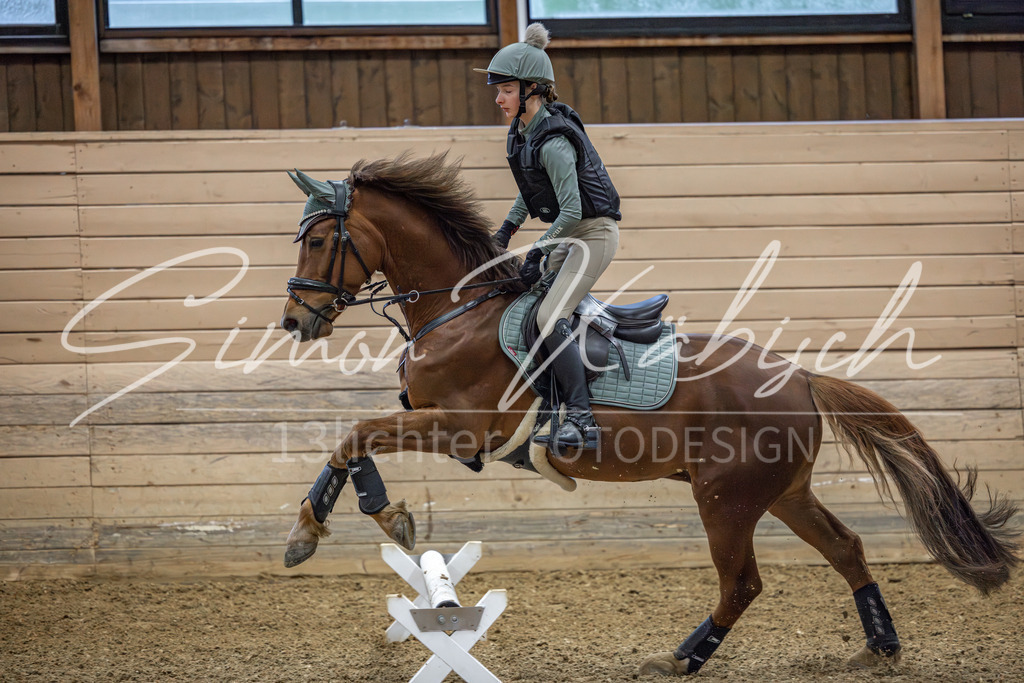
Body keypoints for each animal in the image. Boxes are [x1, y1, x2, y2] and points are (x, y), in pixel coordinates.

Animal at [278, 153, 1019, 676]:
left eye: (316, 242)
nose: (294, 320)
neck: (458, 311)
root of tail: (801, 377)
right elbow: (348, 442)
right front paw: (311, 531)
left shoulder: (462, 429)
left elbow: (354, 435)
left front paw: (379, 518)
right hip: (784, 492)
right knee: (846, 547)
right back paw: (879, 646)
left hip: (726, 499)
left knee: (742, 583)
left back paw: (683, 656)